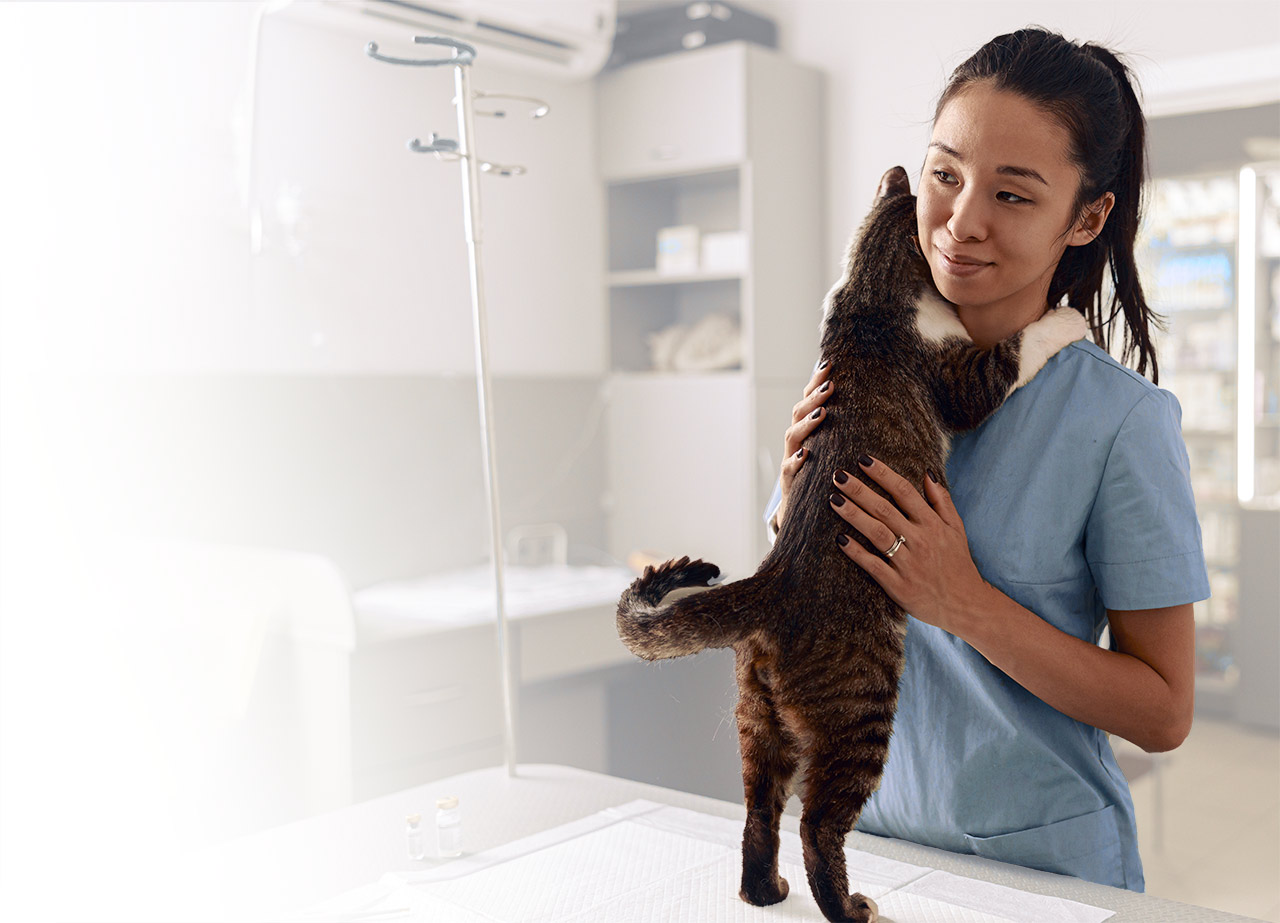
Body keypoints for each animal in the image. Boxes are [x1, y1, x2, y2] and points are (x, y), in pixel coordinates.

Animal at [614, 165, 1085, 921]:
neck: (869, 290)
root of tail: (769, 583)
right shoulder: (960, 378)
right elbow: (1016, 351)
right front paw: (1067, 316)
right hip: (860, 711)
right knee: (816, 823)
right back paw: (849, 907)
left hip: (758, 720)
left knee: (759, 812)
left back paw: (764, 891)